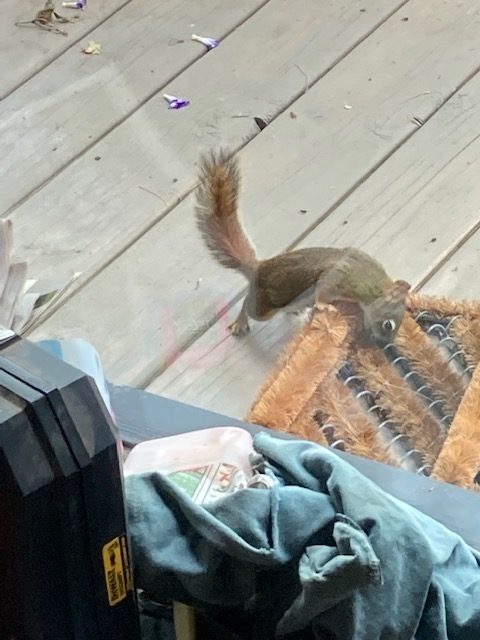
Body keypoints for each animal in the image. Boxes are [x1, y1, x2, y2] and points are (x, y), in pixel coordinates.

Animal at [193, 151, 410, 348]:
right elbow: (324, 289)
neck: (373, 283)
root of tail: (258, 268)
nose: (384, 344)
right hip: (264, 305)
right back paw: (240, 322)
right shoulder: (341, 277)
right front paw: (324, 305)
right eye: (389, 325)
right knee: (248, 304)